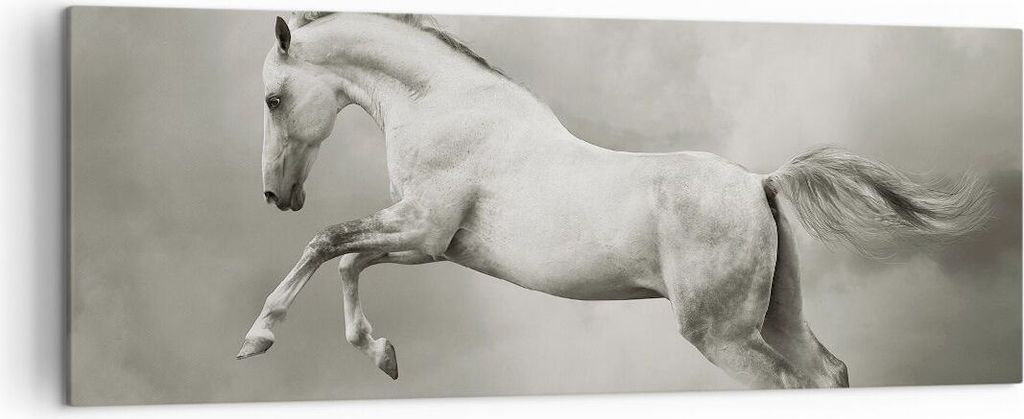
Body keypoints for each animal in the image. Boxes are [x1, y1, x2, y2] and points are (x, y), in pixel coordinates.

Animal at [236, 12, 990, 389]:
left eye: (272, 99)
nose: (276, 194)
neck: (447, 105)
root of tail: (761, 183)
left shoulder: (424, 234)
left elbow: (328, 243)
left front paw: (258, 336)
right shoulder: (420, 240)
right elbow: (344, 258)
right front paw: (383, 353)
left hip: (724, 337)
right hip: (779, 319)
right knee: (828, 374)